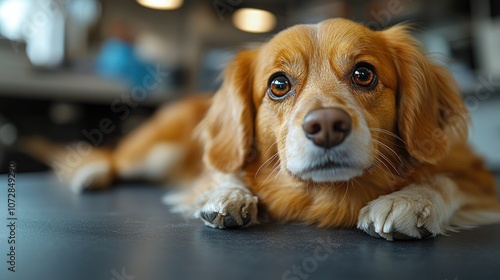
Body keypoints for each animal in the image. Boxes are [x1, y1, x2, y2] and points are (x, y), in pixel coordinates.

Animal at [23, 18, 500, 241]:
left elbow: (444, 180)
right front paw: (228, 194)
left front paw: (410, 200)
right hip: (153, 152)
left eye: (364, 74)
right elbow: (223, 171)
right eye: (278, 84)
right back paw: (90, 173)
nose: (327, 126)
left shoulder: (480, 178)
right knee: (110, 157)